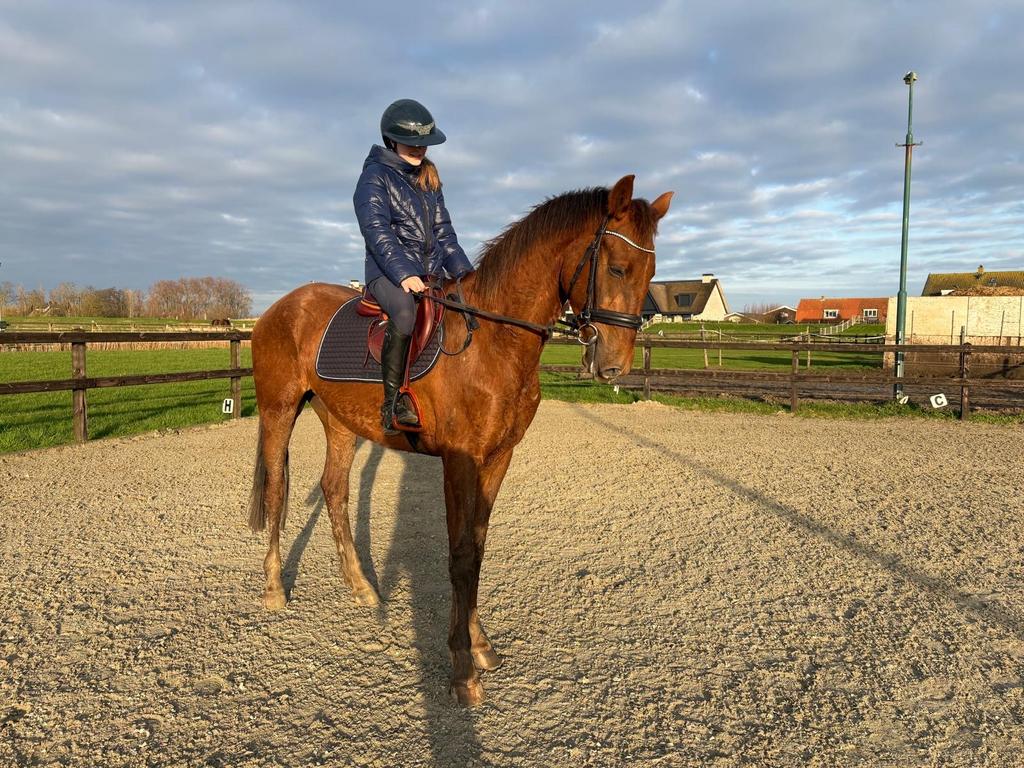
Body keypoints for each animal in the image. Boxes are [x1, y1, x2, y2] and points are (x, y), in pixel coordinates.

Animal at [248, 174, 672, 705]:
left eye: (651, 272)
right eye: (617, 267)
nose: (614, 365)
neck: (493, 341)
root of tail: (278, 308)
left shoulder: (498, 458)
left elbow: (478, 547)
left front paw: (480, 645)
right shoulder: (459, 460)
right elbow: (460, 556)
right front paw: (462, 669)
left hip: (340, 421)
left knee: (334, 491)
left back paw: (361, 587)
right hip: (279, 410)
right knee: (278, 489)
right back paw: (274, 589)